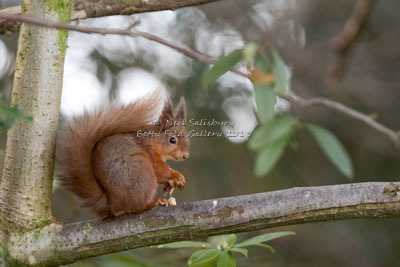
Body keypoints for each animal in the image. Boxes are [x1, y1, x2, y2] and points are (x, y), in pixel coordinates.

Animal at [55, 91, 191, 219]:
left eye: (187, 137)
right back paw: (152, 203)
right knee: (135, 207)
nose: (185, 156)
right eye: (172, 140)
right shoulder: (150, 152)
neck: (153, 140)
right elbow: (160, 171)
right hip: (142, 172)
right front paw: (177, 176)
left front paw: (169, 184)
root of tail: (111, 203)